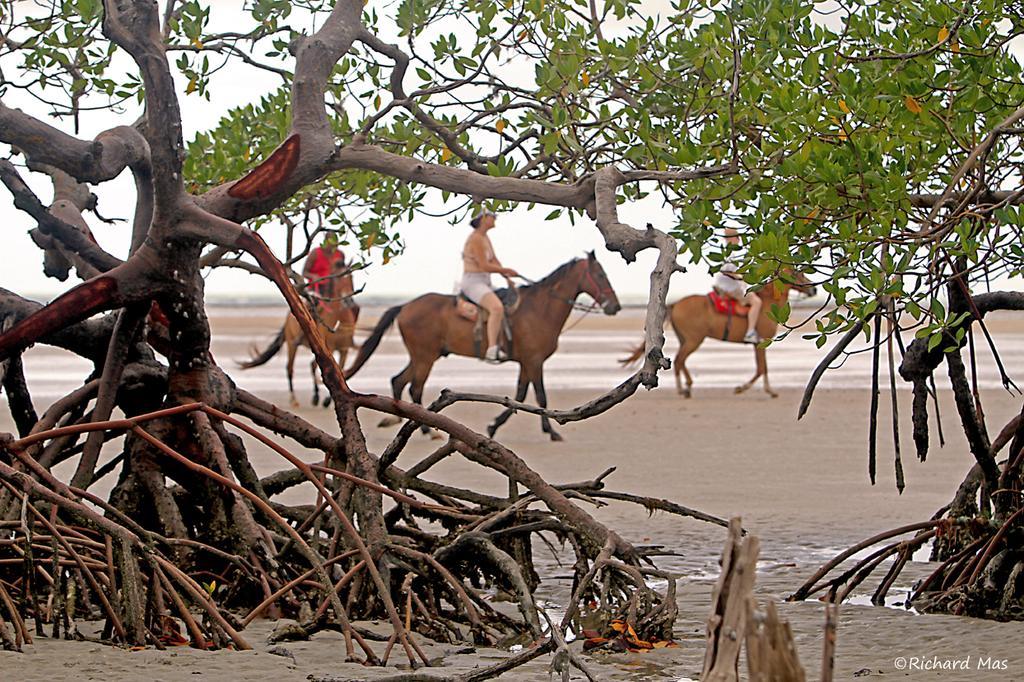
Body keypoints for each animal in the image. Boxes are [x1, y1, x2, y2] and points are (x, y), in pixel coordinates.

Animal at [238, 261, 358, 409]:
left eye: (351, 276)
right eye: (338, 278)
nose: (348, 300)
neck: (339, 317)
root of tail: (288, 317)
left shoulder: (344, 350)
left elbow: (340, 373)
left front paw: (328, 400)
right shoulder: (327, 349)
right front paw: (321, 399)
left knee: (310, 366)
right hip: (291, 344)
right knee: (290, 368)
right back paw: (295, 399)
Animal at [339, 251, 618, 438]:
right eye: (600, 274)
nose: (615, 306)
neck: (539, 309)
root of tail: (406, 305)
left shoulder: (526, 363)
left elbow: (520, 395)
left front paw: (494, 425)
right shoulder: (534, 361)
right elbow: (540, 396)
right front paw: (550, 431)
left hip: (424, 356)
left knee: (399, 381)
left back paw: (402, 420)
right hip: (425, 357)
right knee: (414, 388)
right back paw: (426, 428)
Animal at [614, 270, 815, 399]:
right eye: (796, 273)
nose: (813, 289)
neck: (767, 303)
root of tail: (676, 303)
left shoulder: (759, 346)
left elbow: (762, 369)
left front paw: (766, 390)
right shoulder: (760, 344)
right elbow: (761, 369)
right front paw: (744, 388)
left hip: (687, 340)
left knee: (680, 361)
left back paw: (687, 386)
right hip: (694, 340)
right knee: (679, 361)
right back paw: (682, 389)